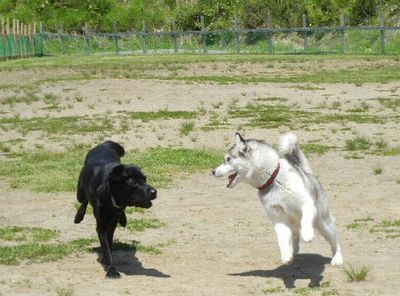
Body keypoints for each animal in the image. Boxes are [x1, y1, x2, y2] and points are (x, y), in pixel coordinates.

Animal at [74, 140, 157, 278]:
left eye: (145, 179)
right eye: (133, 181)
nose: (154, 192)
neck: (109, 194)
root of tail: (104, 144)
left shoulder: (112, 223)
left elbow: (109, 242)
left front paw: (107, 261)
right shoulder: (101, 225)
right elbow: (106, 246)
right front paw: (111, 270)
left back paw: (123, 219)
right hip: (80, 192)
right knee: (84, 199)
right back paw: (78, 216)